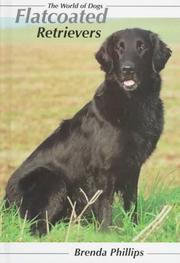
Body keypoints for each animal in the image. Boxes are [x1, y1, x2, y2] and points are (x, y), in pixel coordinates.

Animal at [4, 28, 172, 235]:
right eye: (119, 48)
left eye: (142, 47)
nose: (127, 69)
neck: (134, 102)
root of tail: (5, 200)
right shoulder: (104, 170)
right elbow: (105, 207)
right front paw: (106, 235)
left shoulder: (133, 166)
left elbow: (132, 203)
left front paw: (135, 228)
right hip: (54, 181)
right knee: (37, 227)